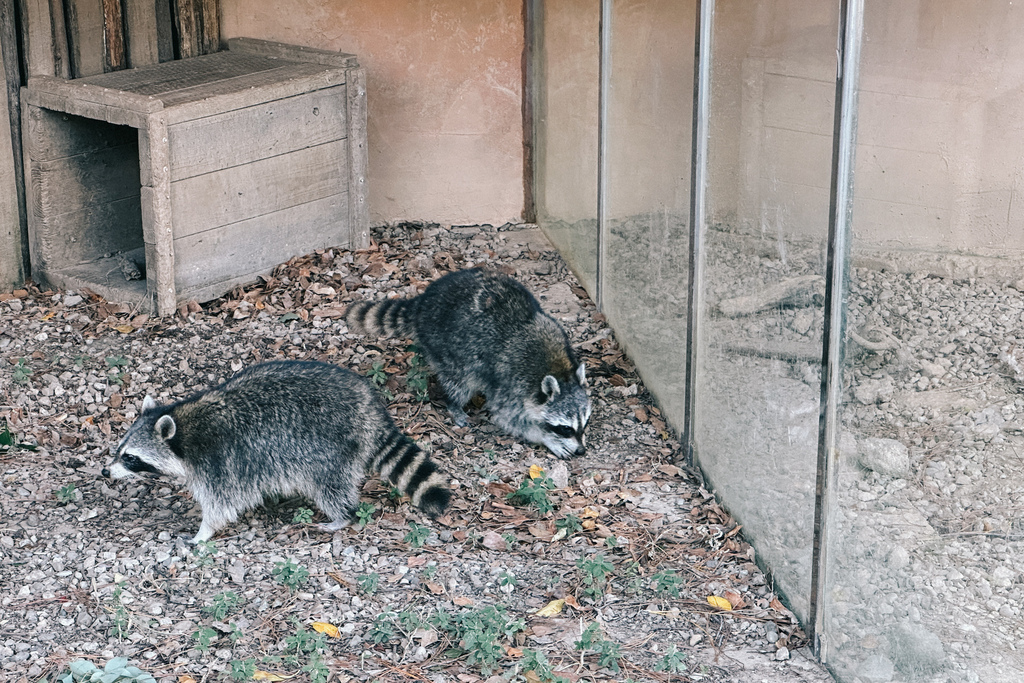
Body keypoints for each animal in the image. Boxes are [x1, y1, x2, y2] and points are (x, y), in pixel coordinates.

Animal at [101, 360, 450, 540]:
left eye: (131, 458)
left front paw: (203, 533)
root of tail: (368, 405)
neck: (184, 433)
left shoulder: (218, 461)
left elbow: (221, 504)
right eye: (119, 449)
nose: (106, 471)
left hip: (328, 445)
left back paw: (341, 516)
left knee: (330, 486)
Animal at [344, 266, 589, 458]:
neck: (558, 369)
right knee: (460, 381)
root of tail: (424, 301)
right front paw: (546, 438)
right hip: (444, 344)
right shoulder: (511, 384)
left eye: (583, 425)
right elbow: (509, 418)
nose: (581, 451)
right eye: (565, 429)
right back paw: (455, 404)